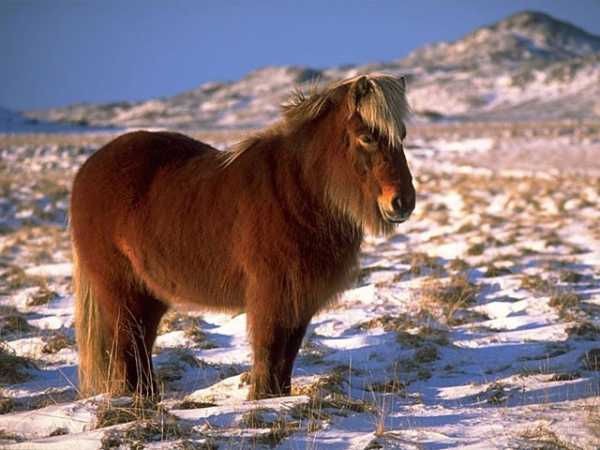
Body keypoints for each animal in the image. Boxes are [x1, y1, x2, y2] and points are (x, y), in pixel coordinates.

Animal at [70, 74, 414, 400]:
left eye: (402, 136)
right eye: (367, 137)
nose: (403, 202)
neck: (298, 190)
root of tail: (89, 168)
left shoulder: (299, 300)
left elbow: (286, 356)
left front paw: (278, 398)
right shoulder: (272, 295)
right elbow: (269, 350)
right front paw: (263, 399)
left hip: (149, 293)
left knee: (141, 343)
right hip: (120, 290)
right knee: (127, 344)